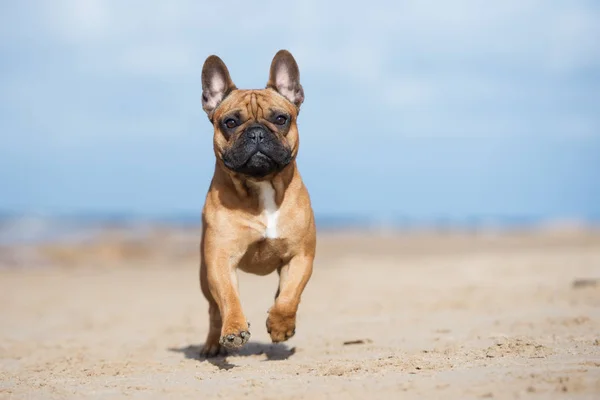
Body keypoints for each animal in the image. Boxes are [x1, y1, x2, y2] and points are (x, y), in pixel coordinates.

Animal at [199, 49, 316, 356]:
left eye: (281, 118)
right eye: (230, 122)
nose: (256, 132)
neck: (261, 186)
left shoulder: (300, 256)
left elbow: (289, 295)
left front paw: (280, 325)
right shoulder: (220, 259)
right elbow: (229, 297)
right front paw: (234, 330)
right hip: (204, 275)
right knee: (213, 310)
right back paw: (212, 344)